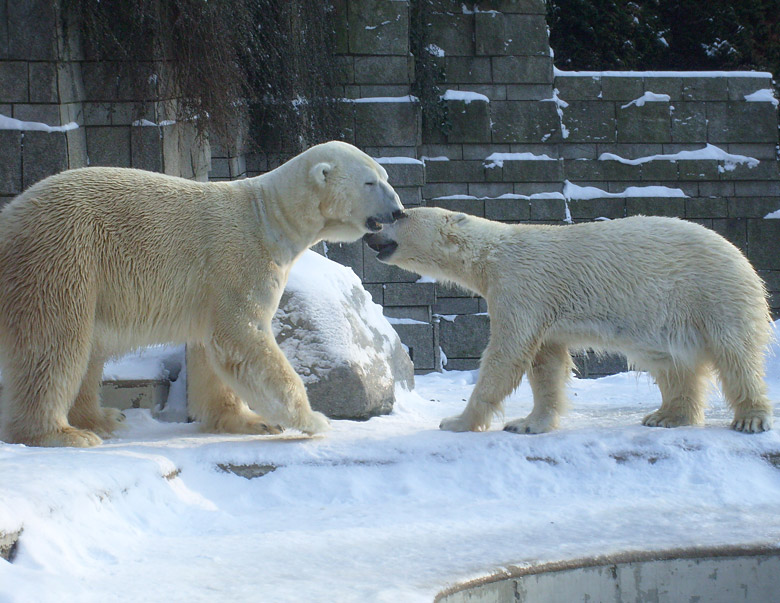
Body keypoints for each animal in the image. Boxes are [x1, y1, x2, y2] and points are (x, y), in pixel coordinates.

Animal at [0, 139, 402, 446]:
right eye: (370, 182)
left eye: (386, 177)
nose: (398, 211)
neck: (270, 216)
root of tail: (10, 217)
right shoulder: (240, 261)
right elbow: (243, 339)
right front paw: (312, 419)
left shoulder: (212, 288)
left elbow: (212, 352)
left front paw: (248, 420)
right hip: (64, 254)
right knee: (56, 343)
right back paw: (61, 433)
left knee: (87, 350)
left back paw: (102, 418)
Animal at [368, 208, 772, 434]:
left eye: (400, 215)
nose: (372, 229)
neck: (493, 254)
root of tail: (740, 255)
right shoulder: (542, 307)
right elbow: (546, 364)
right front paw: (528, 424)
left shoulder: (522, 286)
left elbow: (506, 355)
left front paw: (457, 421)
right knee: (672, 363)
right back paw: (666, 416)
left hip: (713, 293)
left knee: (735, 354)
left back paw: (751, 418)